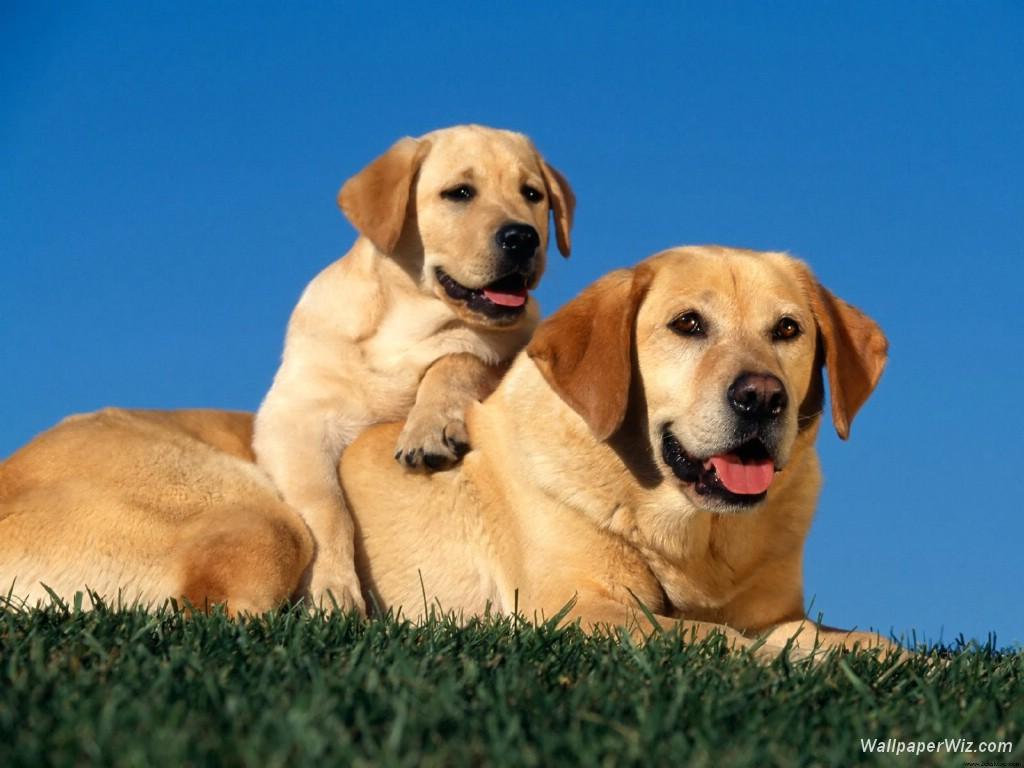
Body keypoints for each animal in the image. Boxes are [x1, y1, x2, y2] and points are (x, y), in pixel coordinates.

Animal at [251, 128, 573, 618]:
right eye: (460, 193)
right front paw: (333, 591)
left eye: (532, 194)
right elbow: (325, 506)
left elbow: (460, 358)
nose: (523, 238)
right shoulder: (293, 420)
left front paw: (430, 425)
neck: (404, 323)